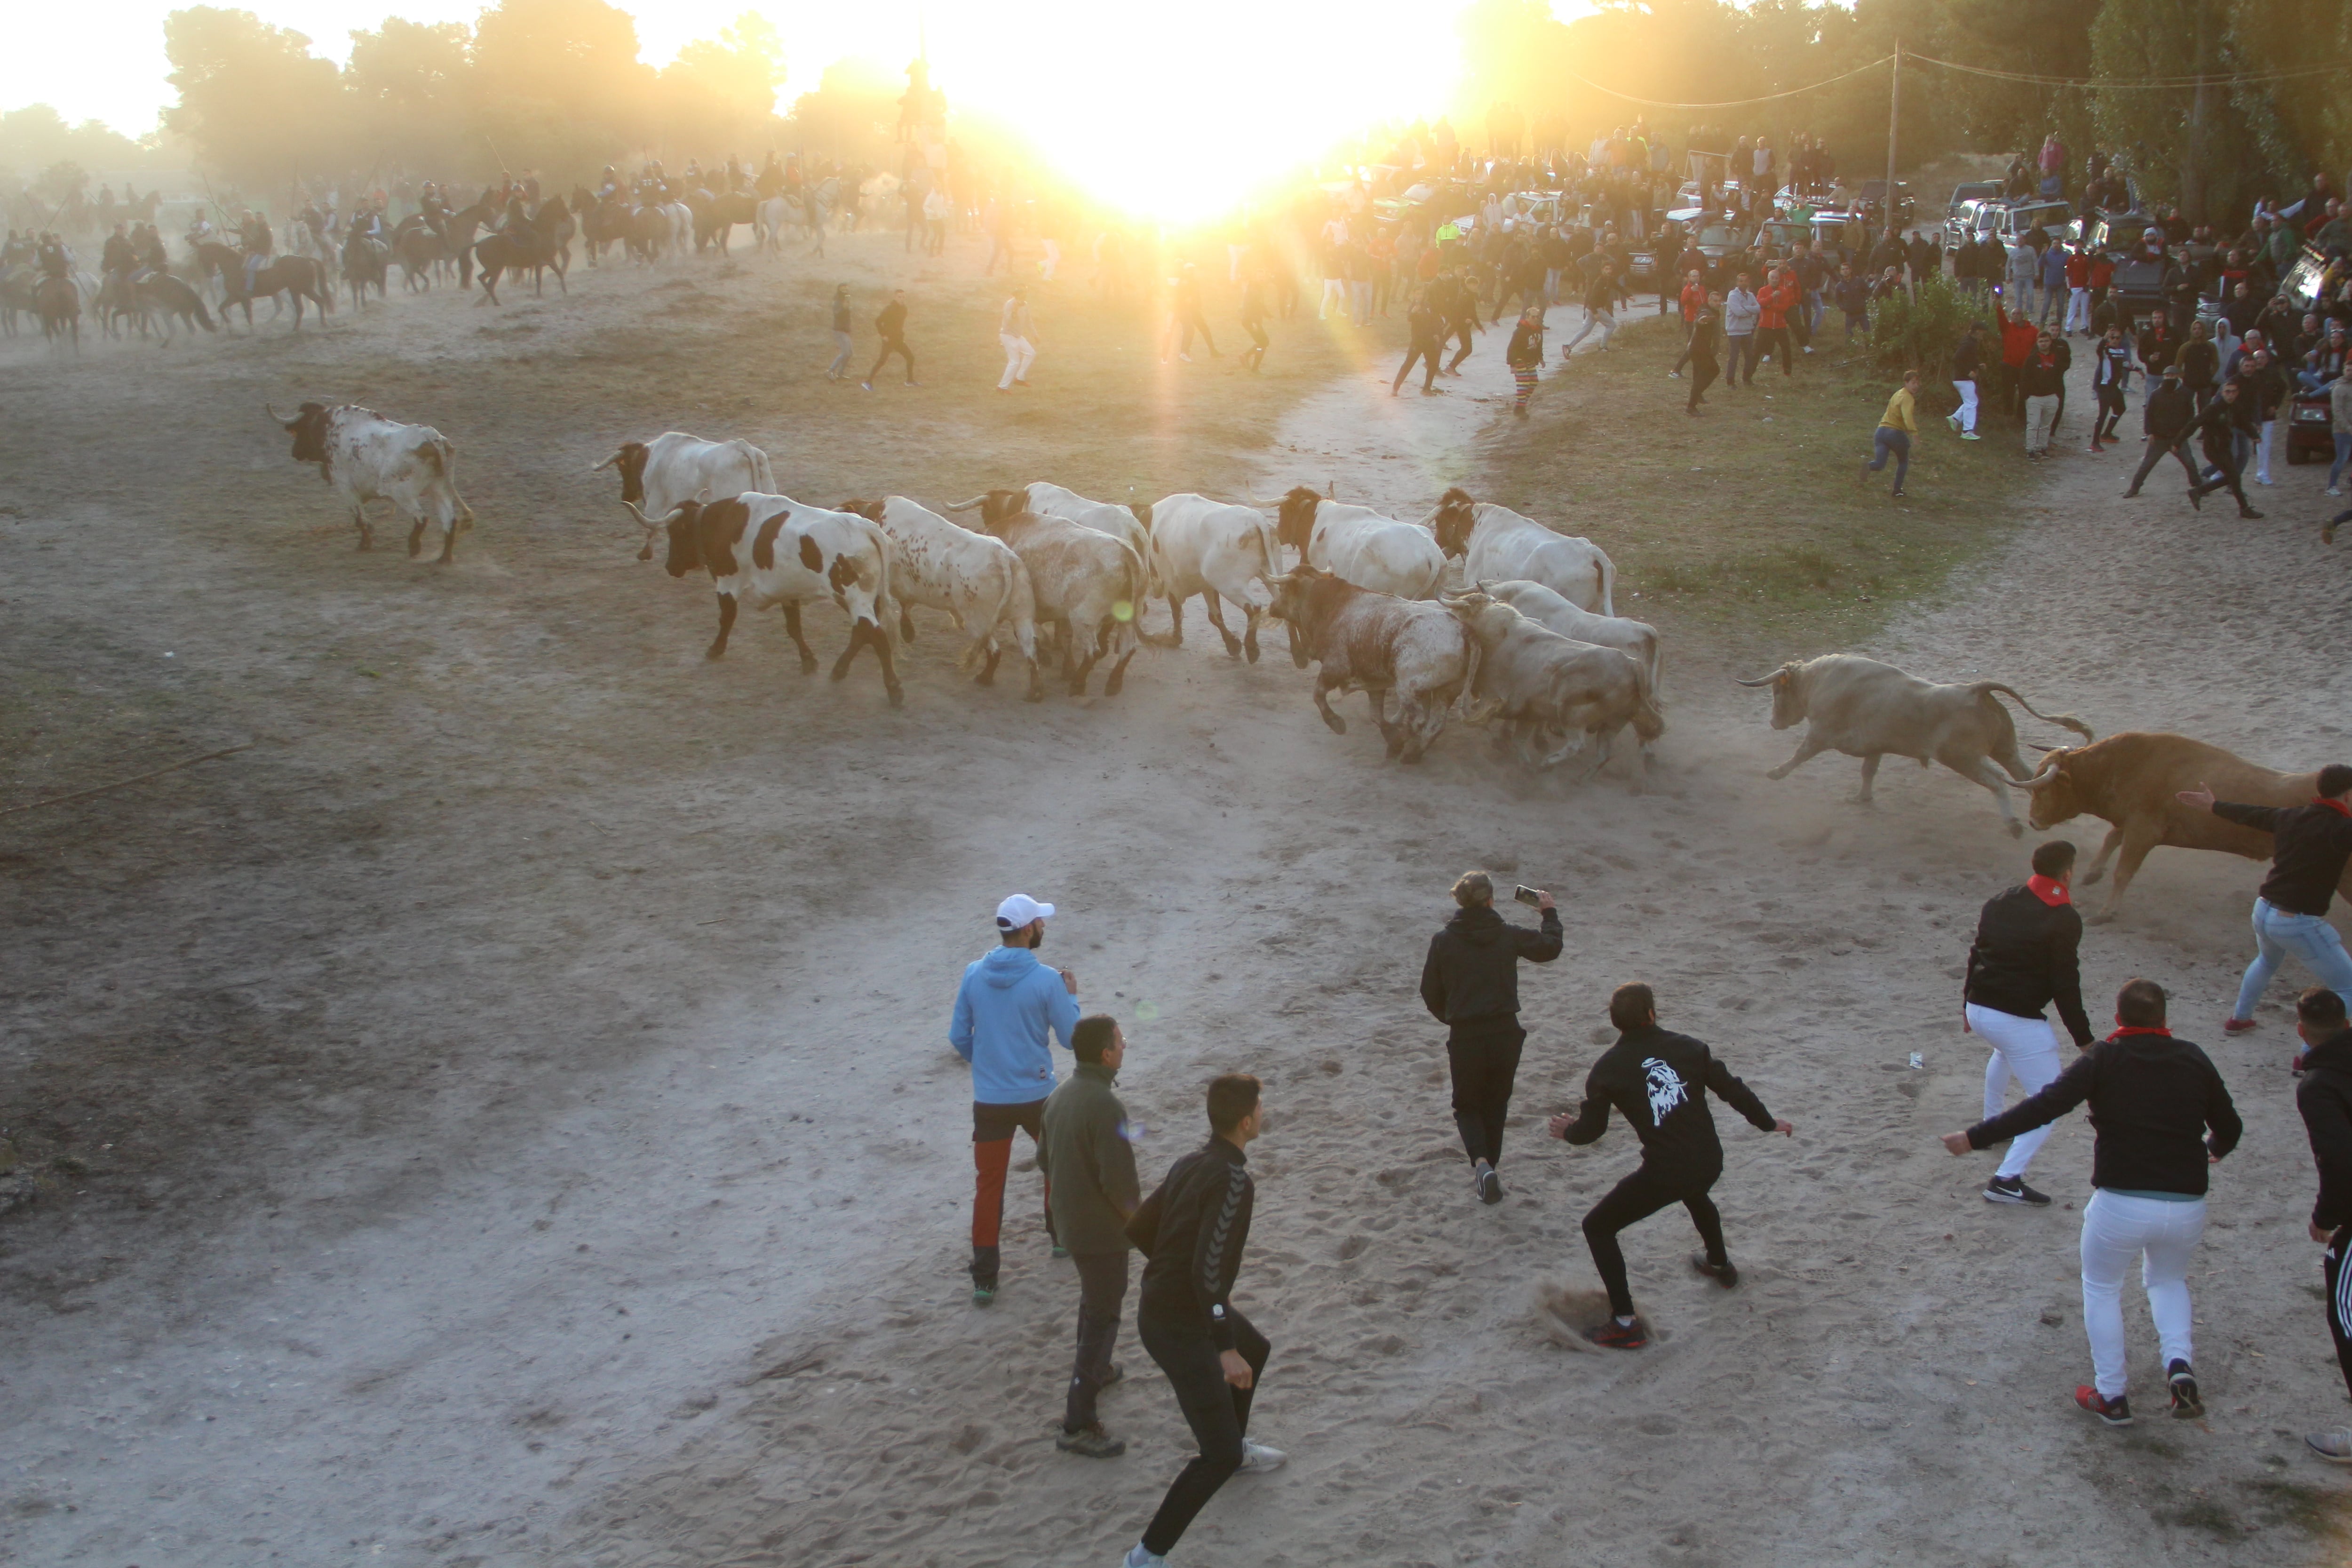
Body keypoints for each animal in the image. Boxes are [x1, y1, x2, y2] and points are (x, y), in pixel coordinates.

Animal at [2004, 733, 2352, 921]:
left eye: (2042, 789)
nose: (2033, 821)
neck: (2121, 765)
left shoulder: (2144, 831)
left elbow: (2123, 870)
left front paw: (2107, 912)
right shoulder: (2134, 824)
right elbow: (2111, 838)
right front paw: (2092, 873)